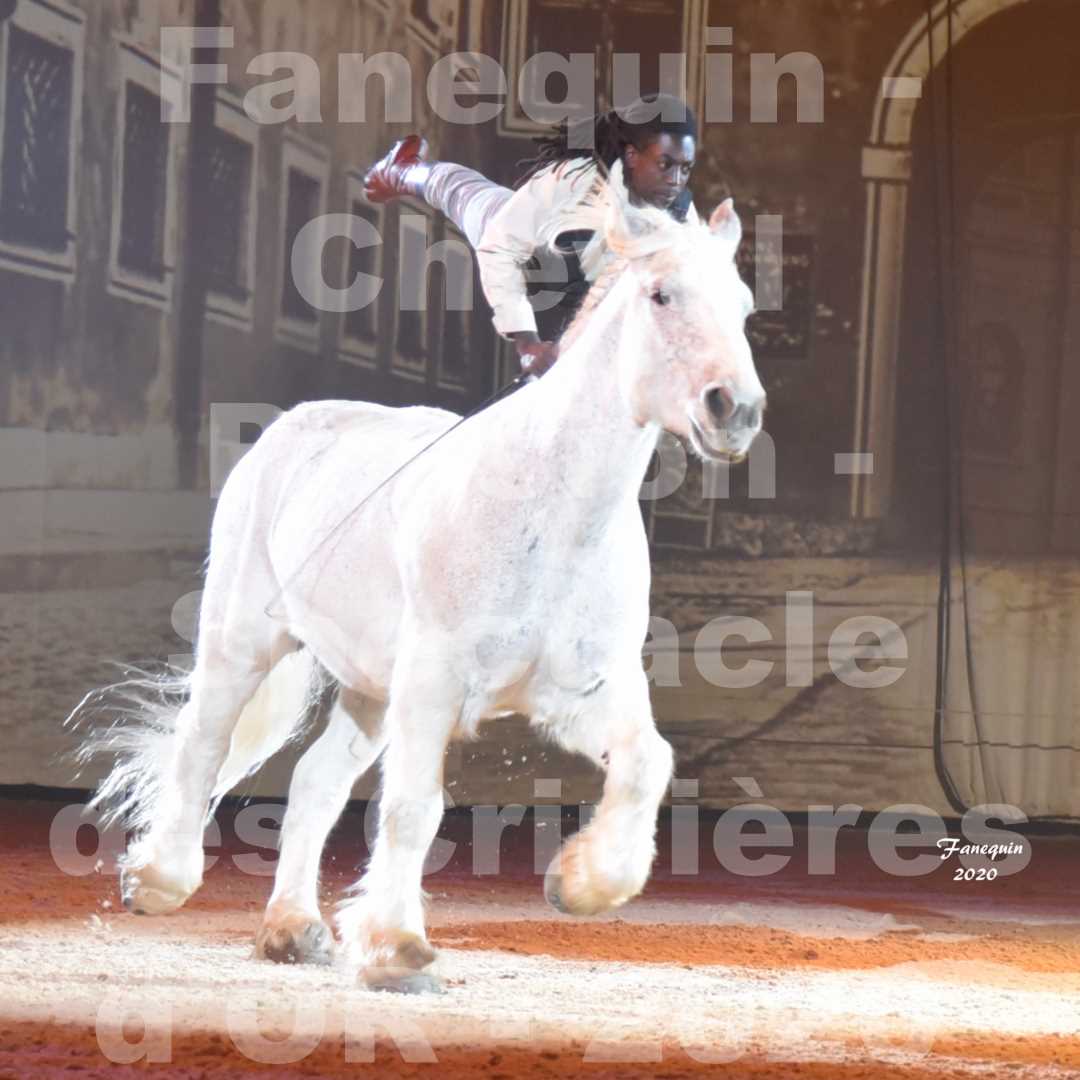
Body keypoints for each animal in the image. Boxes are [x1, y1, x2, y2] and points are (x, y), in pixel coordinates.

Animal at [76, 164, 764, 989]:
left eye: (745, 306)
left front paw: (583, 884)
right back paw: (158, 882)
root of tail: (287, 427)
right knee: (203, 743)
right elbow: (412, 809)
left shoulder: (579, 690)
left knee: (312, 784)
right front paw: (397, 947)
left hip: (370, 691)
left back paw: (291, 928)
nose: (736, 410)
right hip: (244, 640)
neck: (551, 513)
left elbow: (645, 762)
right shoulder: (432, 683)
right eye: (662, 295)